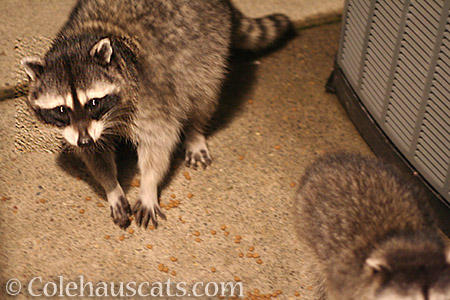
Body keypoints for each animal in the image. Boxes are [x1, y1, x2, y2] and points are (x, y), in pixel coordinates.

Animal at [22, 0, 294, 229]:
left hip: (209, 45)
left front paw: (148, 186)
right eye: (61, 109)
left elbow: (159, 143)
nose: (85, 140)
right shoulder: (83, 130)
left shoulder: (150, 96)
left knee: (202, 92)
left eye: (94, 102)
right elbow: (96, 154)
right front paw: (111, 186)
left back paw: (195, 131)